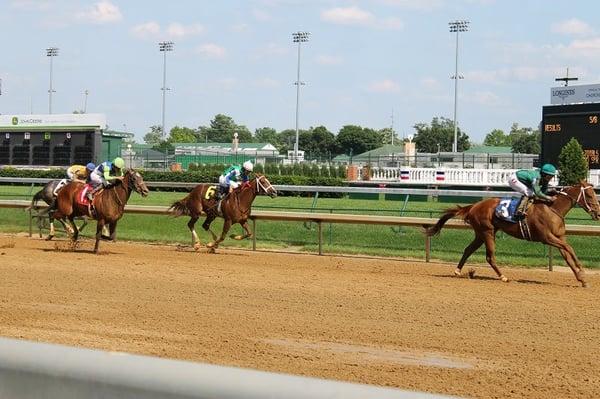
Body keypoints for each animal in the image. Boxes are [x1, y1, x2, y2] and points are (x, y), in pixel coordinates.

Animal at [424, 181, 596, 288]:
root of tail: (474, 206)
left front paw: (582, 279)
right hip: (487, 232)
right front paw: (582, 269)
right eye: (589, 195)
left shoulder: (558, 237)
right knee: (490, 256)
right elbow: (569, 248)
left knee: (468, 249)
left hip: (481, 233)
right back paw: (503, 276)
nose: (598, 212)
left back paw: (458, 271)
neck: (552, 209)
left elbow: (567, 255)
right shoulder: (546, 238)